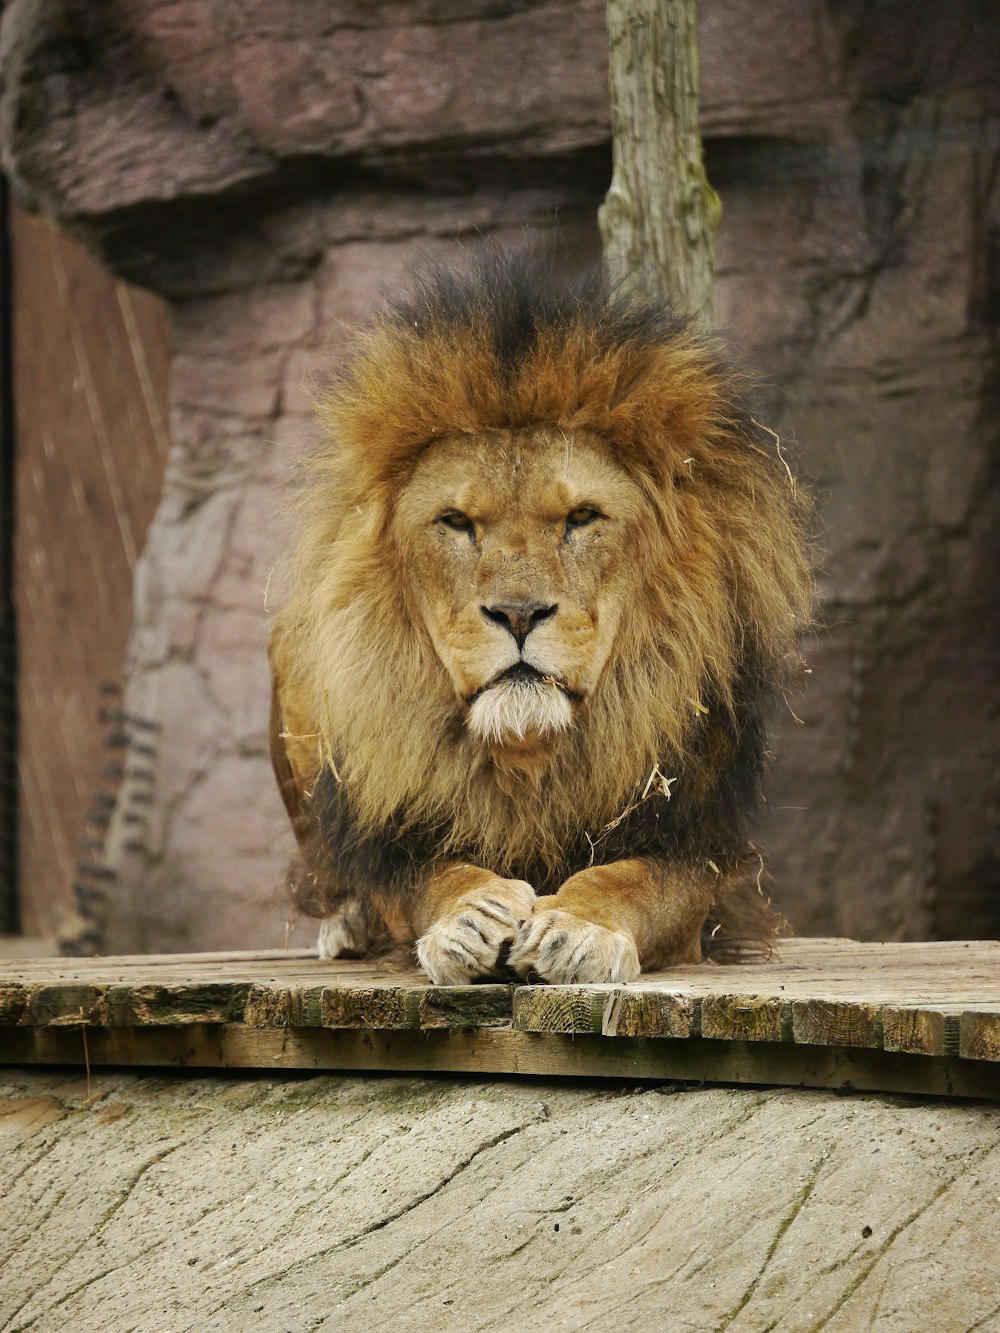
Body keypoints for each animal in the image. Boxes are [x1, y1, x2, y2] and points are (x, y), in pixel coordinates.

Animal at [268, 250, 816, 986]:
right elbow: (430, 878)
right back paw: (345, 925)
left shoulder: (692, 843)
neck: (529, 755)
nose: (519, 612)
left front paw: (580, 929)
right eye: (456, 522)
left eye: (581, 517)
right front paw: (470, 915)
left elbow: (632, 881)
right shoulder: (400, 834)